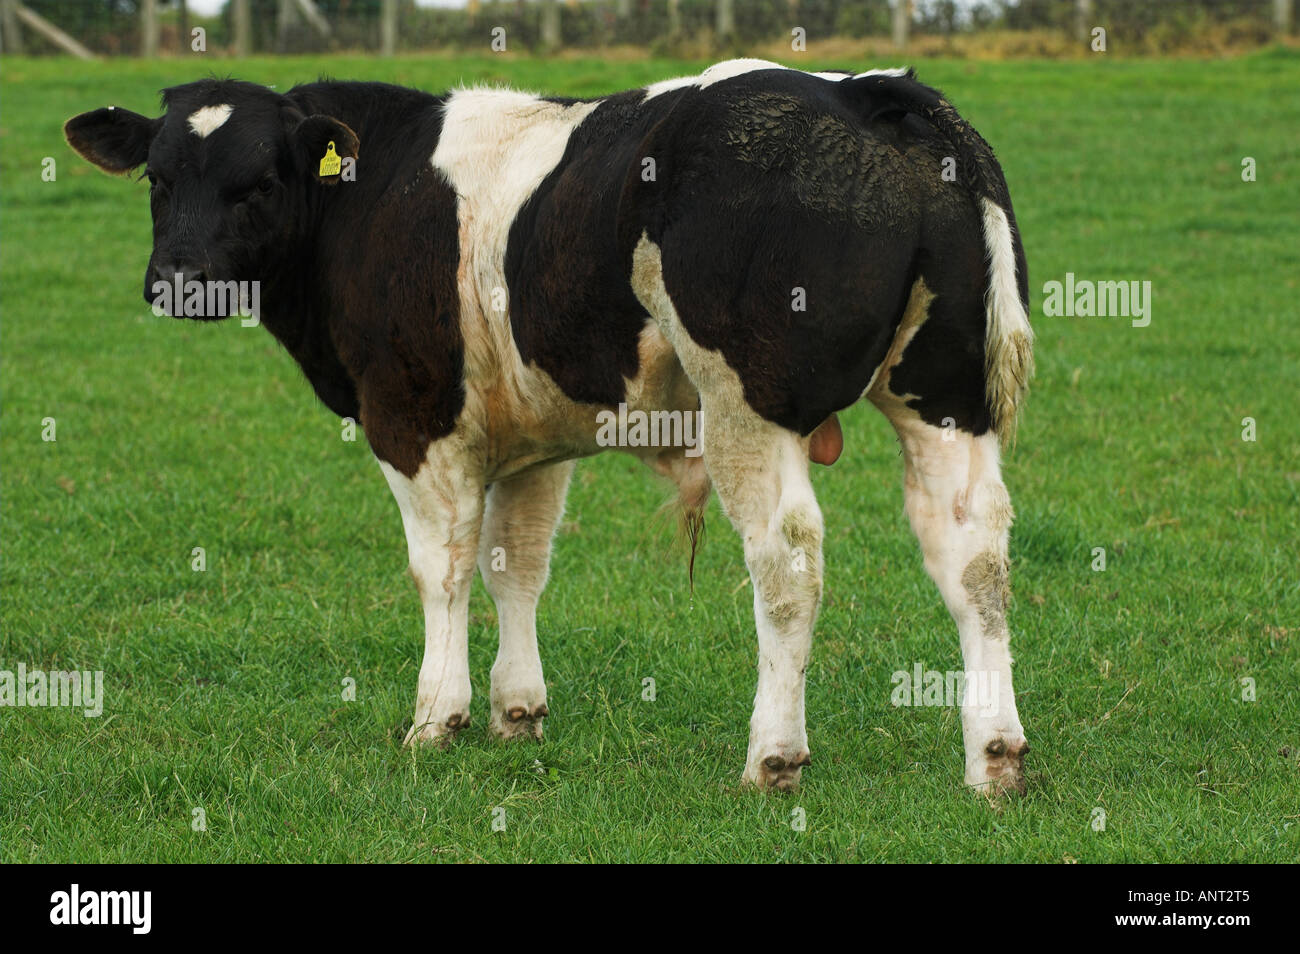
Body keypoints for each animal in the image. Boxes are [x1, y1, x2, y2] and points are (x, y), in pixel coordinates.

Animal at [65, 55, 1029, 795]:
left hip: (750, 409)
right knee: (972, 553)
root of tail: (860, 91)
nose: (178, 281)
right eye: (157, 179)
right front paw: (516, 710)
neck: (377, 188)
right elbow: (515, 565)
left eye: (260, 183)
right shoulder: (532, 438)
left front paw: (437, 715)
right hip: (945, 401)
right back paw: (993, 754)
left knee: (788, 560)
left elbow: (443, 568)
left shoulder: (413, 419)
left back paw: (773, 756)